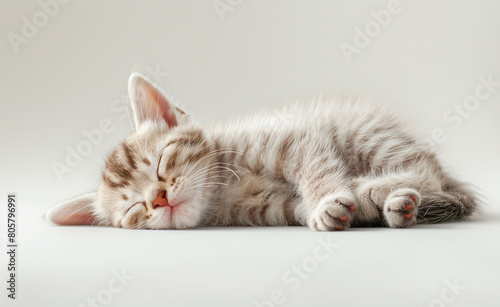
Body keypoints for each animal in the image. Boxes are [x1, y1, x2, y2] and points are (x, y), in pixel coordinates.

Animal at [46, 73, 476, 230]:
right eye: (135, 208)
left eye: (162, 164)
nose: (160, 198)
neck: (221, 191)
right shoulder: (270, 209)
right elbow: (300, 207)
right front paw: (327, 212)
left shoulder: (295, 137)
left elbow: (318, 169)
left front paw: (330, 198)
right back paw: (398, 206)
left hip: (369, 136)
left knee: (426, 172)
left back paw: (378, 189)